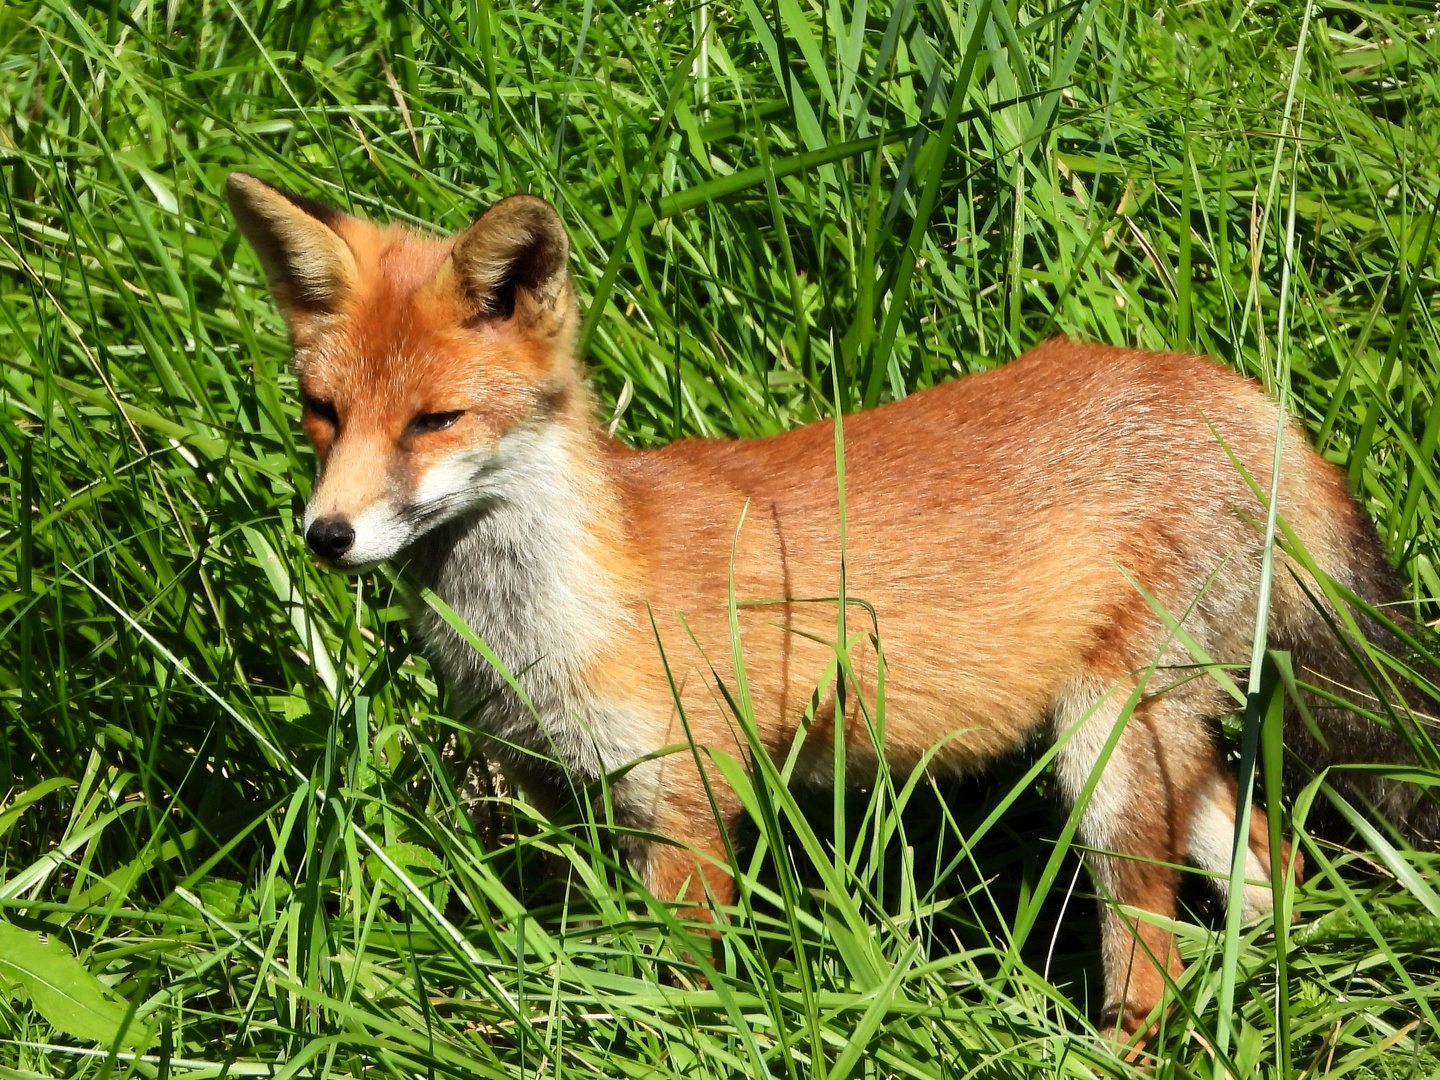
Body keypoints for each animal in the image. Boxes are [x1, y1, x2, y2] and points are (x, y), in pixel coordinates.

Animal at [230, 175, 1434, 1042]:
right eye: (322, 413)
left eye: (434, 420)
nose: (326, 536)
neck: (549, 624)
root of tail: (1245, 396)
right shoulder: (563, 794)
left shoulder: (688, 802)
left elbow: (678, 992)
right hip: (1166, 752)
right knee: (1272, 870)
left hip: (1107, 760)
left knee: (1154, 957)